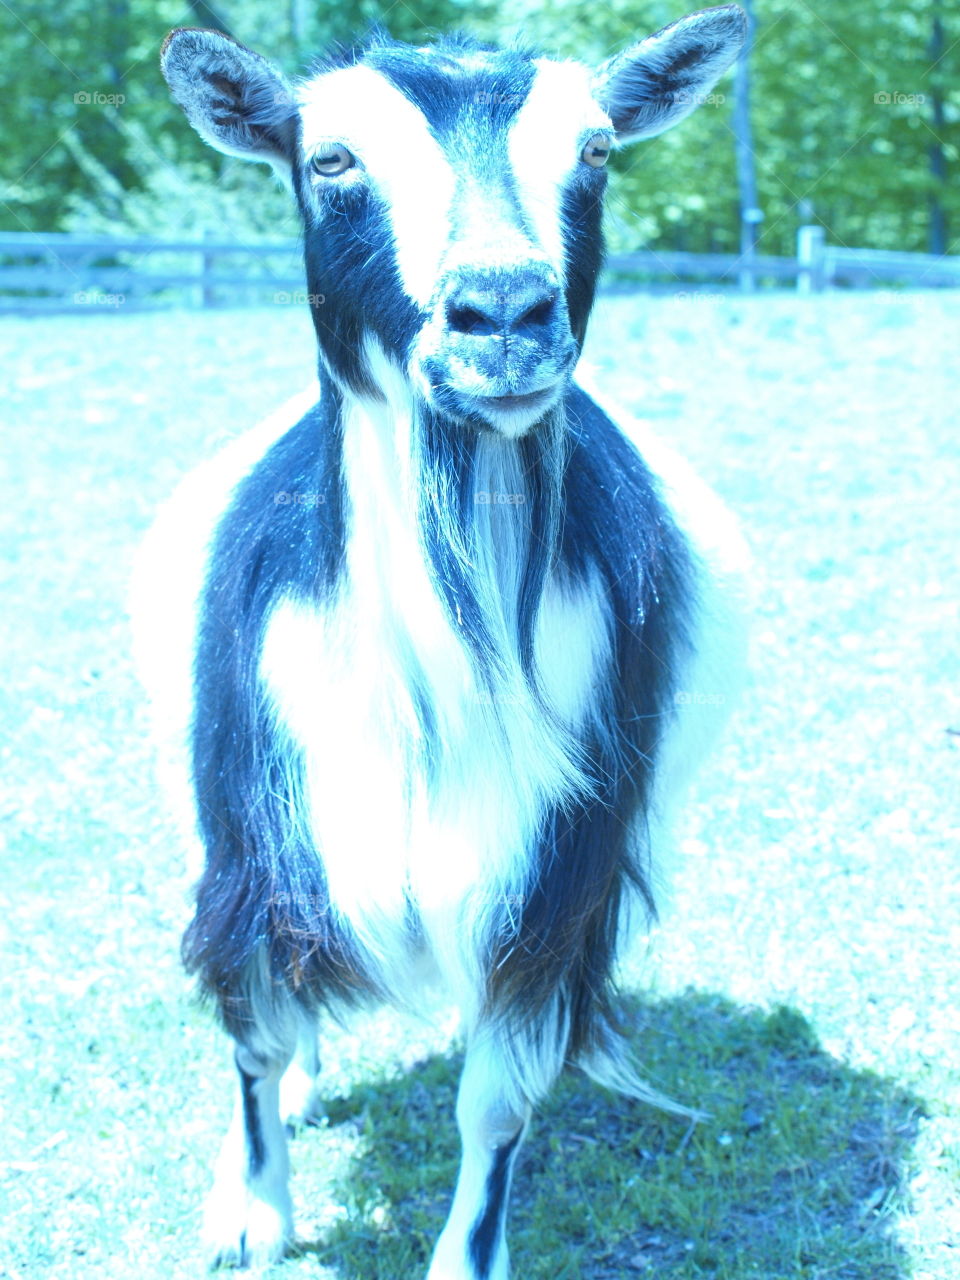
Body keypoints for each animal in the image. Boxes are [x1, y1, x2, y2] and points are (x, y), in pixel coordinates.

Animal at [136, 7, 749, 1275]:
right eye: (329, 160)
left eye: (598, 151)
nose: (503, 316)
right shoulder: (251, 843)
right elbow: (254, 1037)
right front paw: (252, 1213)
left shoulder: (552, 882)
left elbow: (497, 1103)